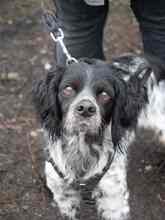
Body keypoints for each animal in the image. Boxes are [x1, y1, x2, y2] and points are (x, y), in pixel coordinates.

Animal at [32, 55, 165, 219]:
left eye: (104, 94)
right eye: (68, 89)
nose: (86, 109)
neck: (81, 149)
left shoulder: (113, 200)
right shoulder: (64, 197)